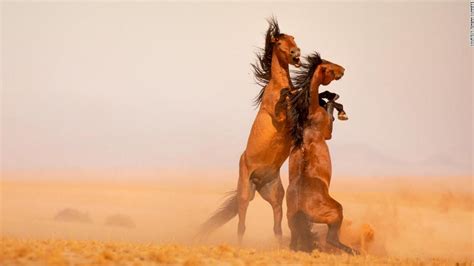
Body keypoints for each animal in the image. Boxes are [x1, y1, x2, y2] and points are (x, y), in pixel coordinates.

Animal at [199, 17, 302, 244]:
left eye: (294, 39)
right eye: (279, 43)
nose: (296, 53)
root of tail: (257, 181)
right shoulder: (279, 117)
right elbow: (284, 105)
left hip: (275, 197)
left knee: (277, 228)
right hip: (245, 194)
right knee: (241, 225)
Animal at [284, 53, 358, 255]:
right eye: (329, 66)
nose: (343, 70)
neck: (308, 117)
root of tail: (301, 208)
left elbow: (326, 99)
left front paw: (328, 95)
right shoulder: (328, 133)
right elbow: (332, 105)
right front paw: (341, 111)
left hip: (293, 225)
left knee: (294, 244)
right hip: (336, 213)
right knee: (332, 239)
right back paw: (354, 252)